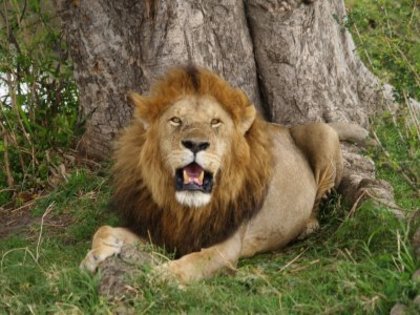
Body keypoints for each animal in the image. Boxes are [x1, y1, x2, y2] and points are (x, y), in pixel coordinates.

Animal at [79, 66, 368, 284]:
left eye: (215, 122)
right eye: (176, 120)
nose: (195, 144)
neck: (187, 209)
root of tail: (287, 127)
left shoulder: (226, 248)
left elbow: (194, 261)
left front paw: (162, 275)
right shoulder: (159, 230)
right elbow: (104, 228)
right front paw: (94, 256)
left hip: (323, 135)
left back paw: (306, 226)